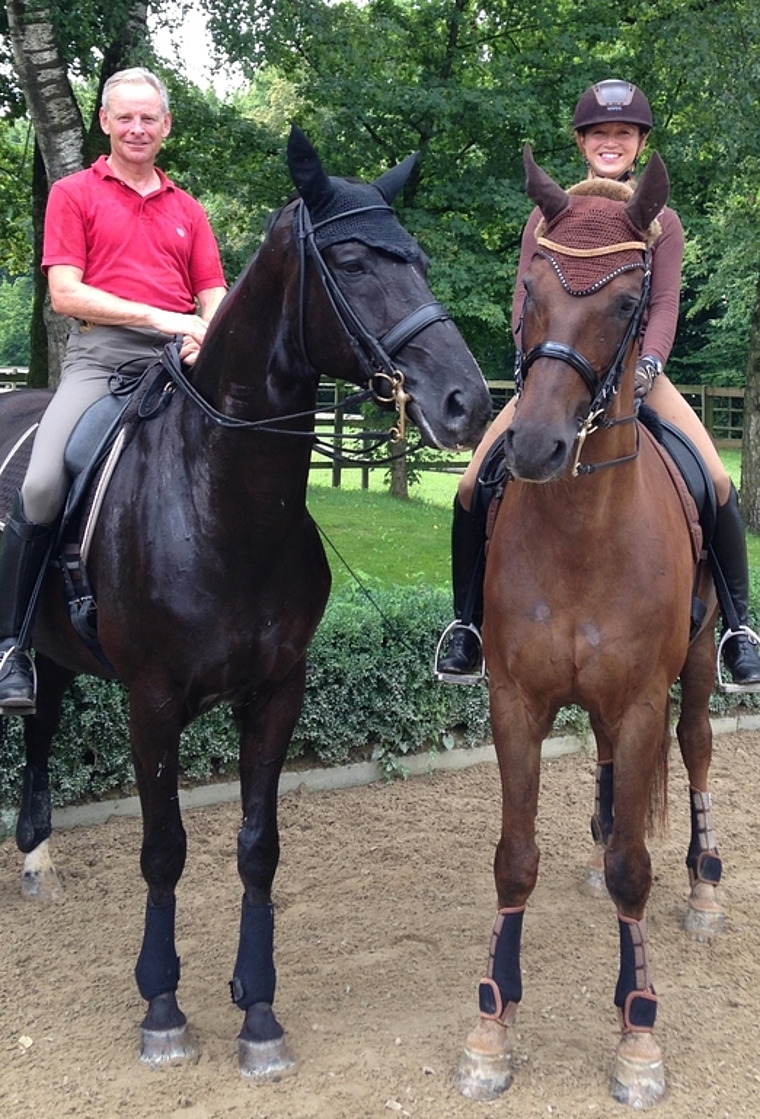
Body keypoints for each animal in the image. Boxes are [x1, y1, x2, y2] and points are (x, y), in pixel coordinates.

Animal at [0, 127, 492, 1078]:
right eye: (351, 260)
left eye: (416, 257)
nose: (468, 400)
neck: (219, 497)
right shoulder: (152, 702)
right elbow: (164, 850)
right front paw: (161, 1004)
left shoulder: (276, 692)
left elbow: (259, 849)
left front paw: (258, 1009)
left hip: (59, 644)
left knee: (43, 720)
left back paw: (37, 854)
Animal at [458, 146, 725, 1101]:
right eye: (532, 286)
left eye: (624, 300)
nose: (534, 445)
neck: (581, 534)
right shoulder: (515, 700)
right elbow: (514, 857)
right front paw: (491, 1023)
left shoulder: (644, 700)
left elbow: (633, 873)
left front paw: (638, 1031)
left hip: (697, 670)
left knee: (696, 752)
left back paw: (707, 888)